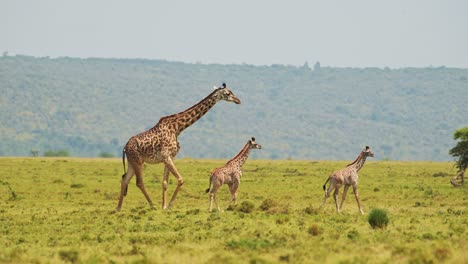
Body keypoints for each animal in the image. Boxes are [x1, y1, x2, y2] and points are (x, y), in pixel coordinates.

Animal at [117, 83, 241, 211]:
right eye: (227, 93)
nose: (238, 100)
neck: (178, 128)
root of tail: (125, 147)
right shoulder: (166, 156)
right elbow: (180, 179)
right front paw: (169, 205)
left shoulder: (169, 157)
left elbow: (165, 182)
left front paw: (164, 206)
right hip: (137, 161)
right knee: (139, 182)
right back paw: (152, 205)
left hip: (132, 162)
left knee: (124, 180)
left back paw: (118, 208)